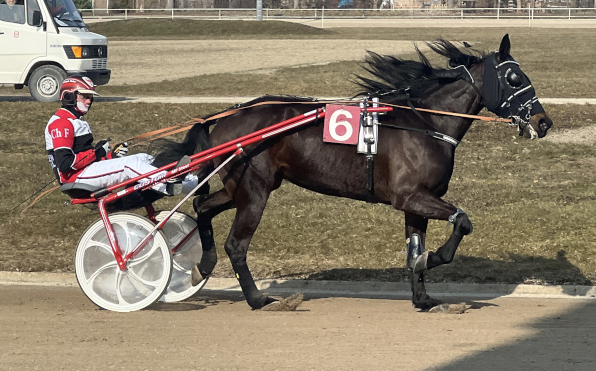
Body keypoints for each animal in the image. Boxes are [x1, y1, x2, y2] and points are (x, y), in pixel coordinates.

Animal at [155, 35, 556, 310]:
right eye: (514, 78)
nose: (543, 122)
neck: (425, 123)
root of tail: (220, 117)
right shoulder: (409, 197)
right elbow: (462, 221)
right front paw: (433, 259)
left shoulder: (418, 202)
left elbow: (414, 251)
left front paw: (423, 297)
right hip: (254, 191)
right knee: (236, 245)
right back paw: (258, 299)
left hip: (241, 187)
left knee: (203, 209)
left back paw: (201, 267)